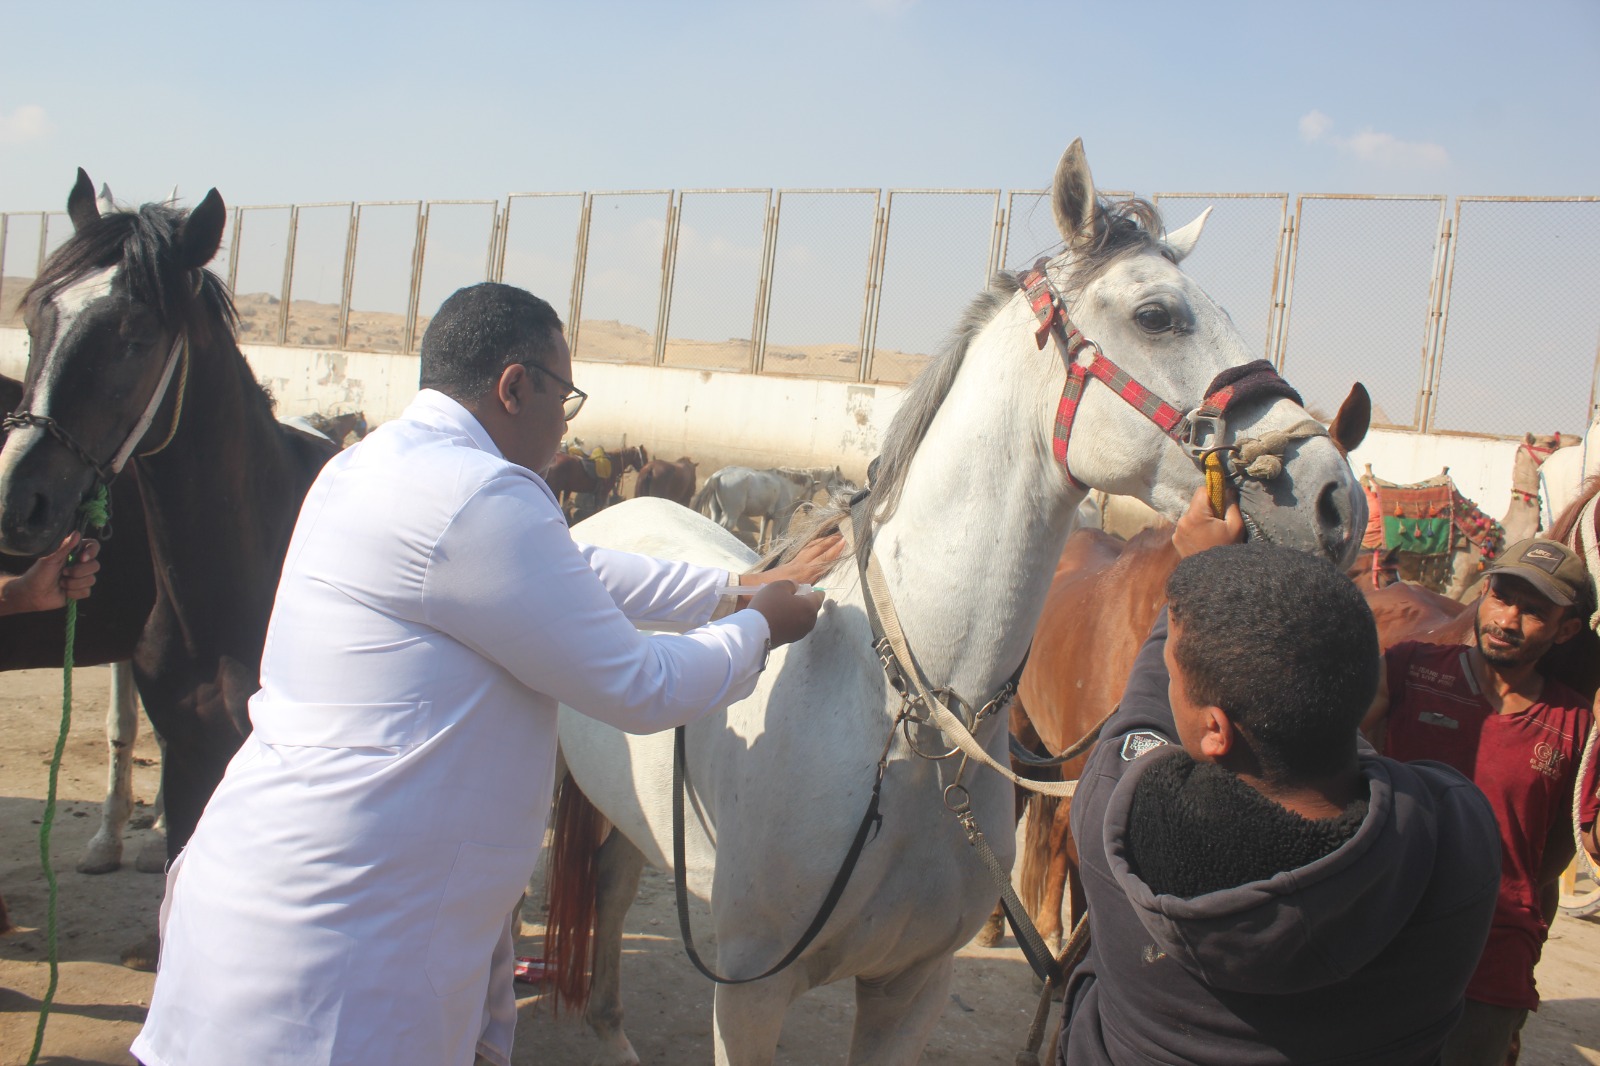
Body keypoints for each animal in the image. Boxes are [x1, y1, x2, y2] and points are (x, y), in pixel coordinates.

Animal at [547, 136, 1363, 1056]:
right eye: (1157, 315)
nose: (1335, 498)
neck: (912, 724)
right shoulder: (751, 993)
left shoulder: (911, 988)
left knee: (612, 886)